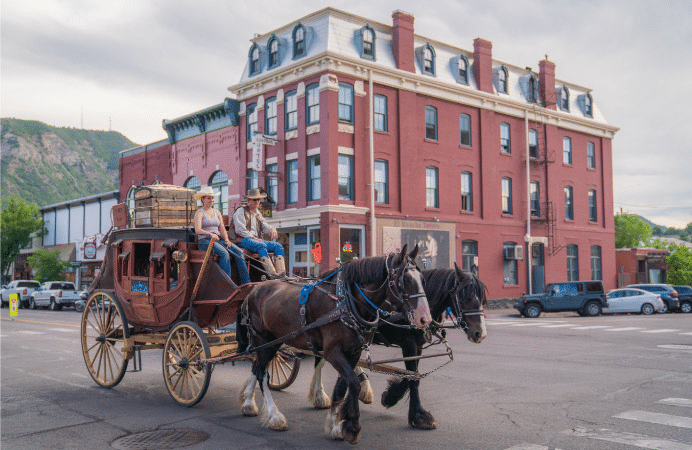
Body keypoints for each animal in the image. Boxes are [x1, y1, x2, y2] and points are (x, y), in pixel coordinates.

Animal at [238, 246, 432, 442]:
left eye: (423, 280)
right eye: (405, 280)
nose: (425, 319)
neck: (345, 302)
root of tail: (253, 291)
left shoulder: (353, 352)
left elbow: (341, 387)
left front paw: (335, 425)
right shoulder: (333, 352)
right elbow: (353, 383)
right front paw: (351, 426)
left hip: (274, 342)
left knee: (257, 367)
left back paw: (248, 403)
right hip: (263, 340)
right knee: (262, 374)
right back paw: (274, 416)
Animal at [308, 264, 486, 428]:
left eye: (482, 298)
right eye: (465, 296)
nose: (480, 334)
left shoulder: (418, 346)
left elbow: (413, 374)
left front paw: (392, 397)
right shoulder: (408, 344)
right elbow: (413, 377)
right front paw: (416, 414)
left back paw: (363, 388)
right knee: (319, 361)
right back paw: (319, 396)